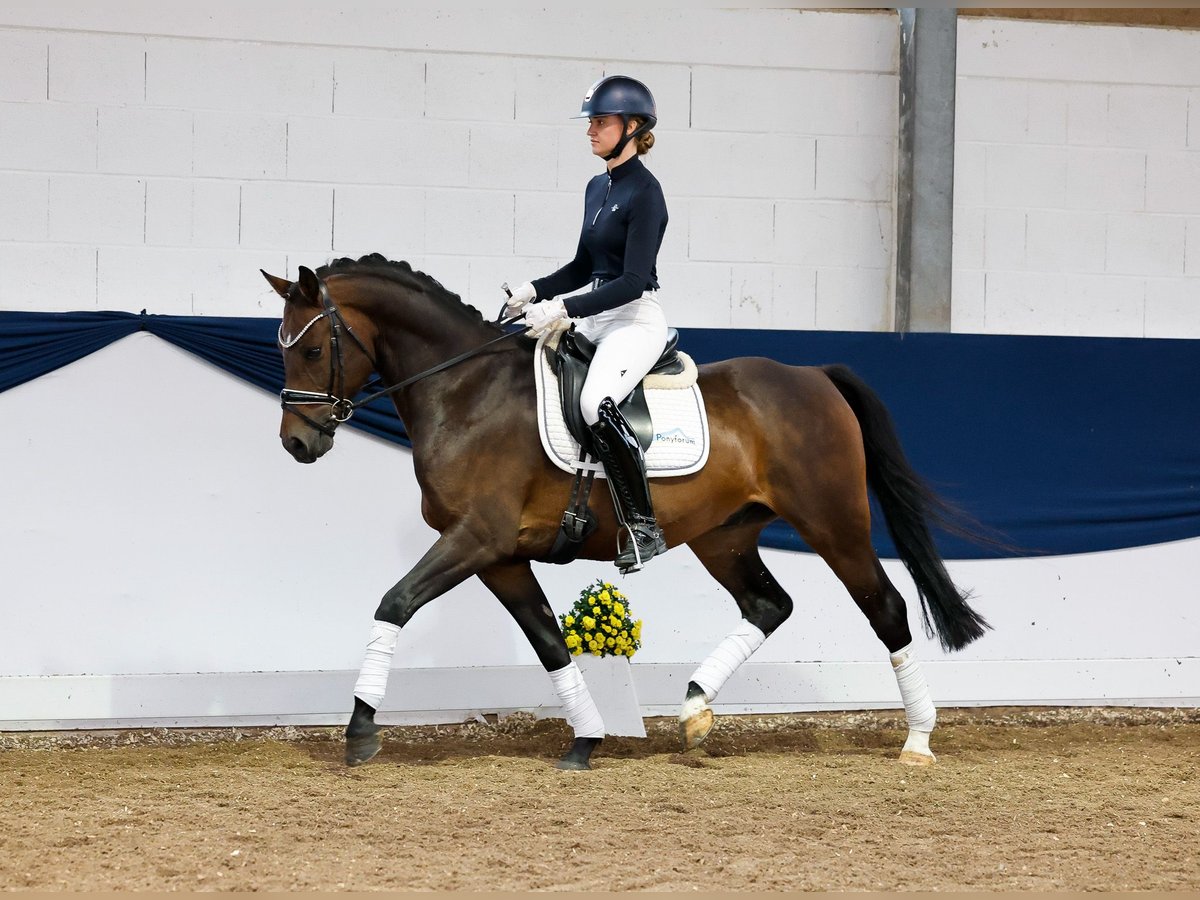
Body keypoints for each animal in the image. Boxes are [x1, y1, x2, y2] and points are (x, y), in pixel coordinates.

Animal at [267, 255, 988, 777]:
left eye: (310, 351)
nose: (297, 443)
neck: (465, 392)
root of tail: (813, 374)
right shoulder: (498, 554)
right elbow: (549, 640)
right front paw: (586, 741)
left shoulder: (475, 538)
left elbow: (394, 603)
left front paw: (360, 732)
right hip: (724, 536)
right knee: (768, 605)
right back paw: (694, 711)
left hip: (833, 523)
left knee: (885, 608)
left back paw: (918, 741)